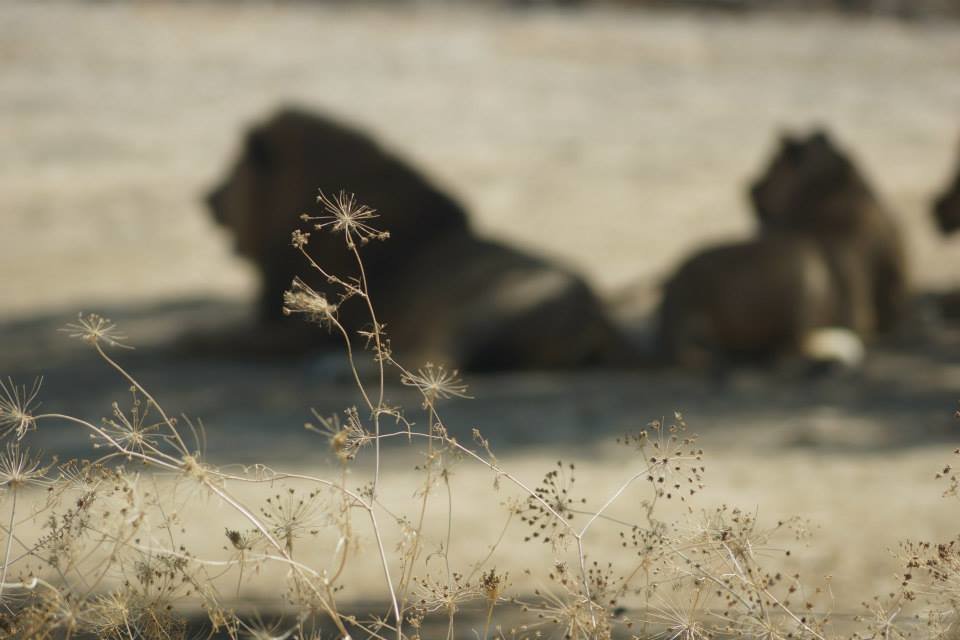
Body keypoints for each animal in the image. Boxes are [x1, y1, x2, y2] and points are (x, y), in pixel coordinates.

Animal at [206, 107, 632, 370]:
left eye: (232, 170)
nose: (205, 196)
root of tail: (603, 315)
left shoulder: (300, 329)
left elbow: (203, 335)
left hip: (492, 304)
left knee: (446, 360)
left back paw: (344, 366)